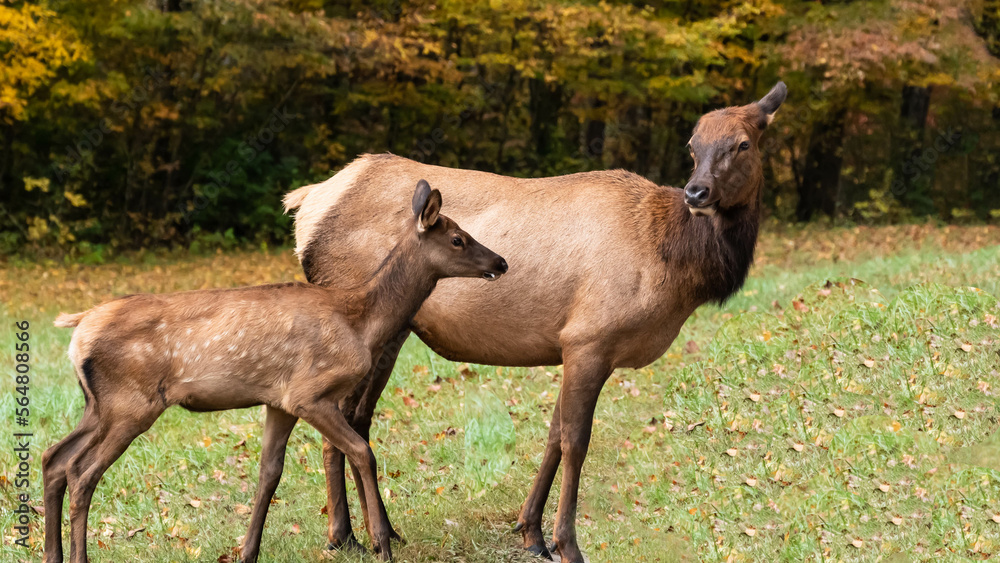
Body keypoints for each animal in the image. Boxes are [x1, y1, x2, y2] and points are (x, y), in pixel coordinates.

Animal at [41, 180, 508, 563]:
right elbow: (362, 451)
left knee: (54, 457)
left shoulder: (278, 401)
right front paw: (382, 543)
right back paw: (78, 556)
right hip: (131, 402)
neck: (360, 321)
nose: (501, 262)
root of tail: (78, 328)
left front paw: (247, 552)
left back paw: (52, 554)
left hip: (99, 404)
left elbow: (269, 473)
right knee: (81, 472)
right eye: (458, 238)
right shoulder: (309, 392)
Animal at [283, 82, 787, 563]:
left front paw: (531, 534)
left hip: (394, 330)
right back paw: (346, 536)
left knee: (358, 420)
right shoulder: (590, 338)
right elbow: (576, 442)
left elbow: (553, 436)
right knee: (340, 421)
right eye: (693, 145)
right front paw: (568, 544)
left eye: (743, 143)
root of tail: (305, 204)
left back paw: (380, 532)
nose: (696, 193)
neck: (672, 264)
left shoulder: (572, 345)